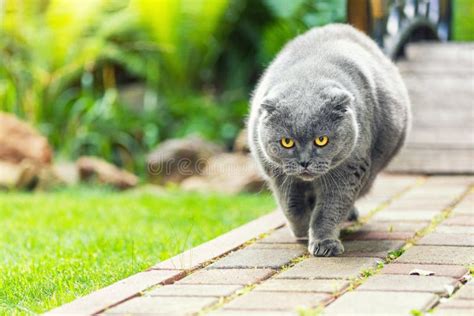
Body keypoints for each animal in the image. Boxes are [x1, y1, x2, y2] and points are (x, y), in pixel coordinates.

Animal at [248, 24, 412, 256]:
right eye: (287, 142)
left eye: (322, 140)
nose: (304, 162)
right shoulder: (277, 174)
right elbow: (291, 206)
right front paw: (302, 230)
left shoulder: (349, 170)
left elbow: (329, 210)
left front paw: (325, 243)